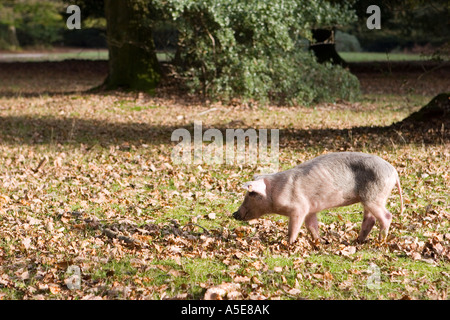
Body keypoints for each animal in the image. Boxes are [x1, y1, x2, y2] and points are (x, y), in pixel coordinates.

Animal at [234, 151, 402, 244]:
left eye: (251, 193)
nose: (234, 214)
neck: (275, 191)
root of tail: (394, 172)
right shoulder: (310, 209)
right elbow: (312, 226)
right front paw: (319, 242)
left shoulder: (299, 208)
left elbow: (294, 227)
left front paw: (288, 244)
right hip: (369, 198)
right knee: (370, 219)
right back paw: (358, 241)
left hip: (374, 196)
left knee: (387, 216)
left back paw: (380, 241)